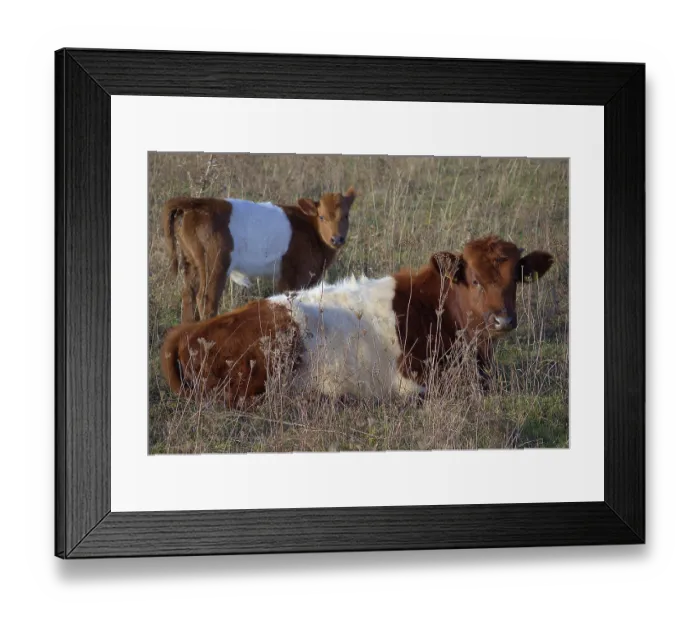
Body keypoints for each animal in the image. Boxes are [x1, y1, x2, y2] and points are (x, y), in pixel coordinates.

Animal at [162, 187, 357, 322]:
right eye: (322, 217)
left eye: (346, 216)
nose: (337, 239)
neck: (311, 229)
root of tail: (195, 203)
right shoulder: (295, 276)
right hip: (214, 264)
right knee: (206, 300)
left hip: (191, 262)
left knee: (188, 296)